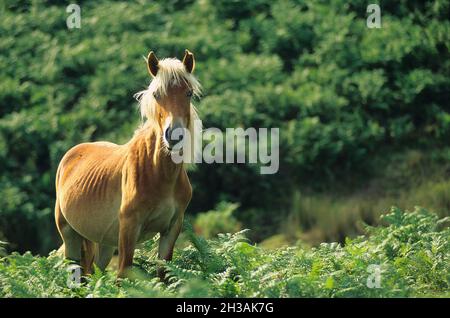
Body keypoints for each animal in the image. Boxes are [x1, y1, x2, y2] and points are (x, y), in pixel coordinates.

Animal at [53, 49, 201, 278]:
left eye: (189, 93)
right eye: (157, 95)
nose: (173, 136)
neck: (159, 174)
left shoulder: (171, 229)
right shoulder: (129, 228)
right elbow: (123, 274)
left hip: (103, 243)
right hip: (70, 237)